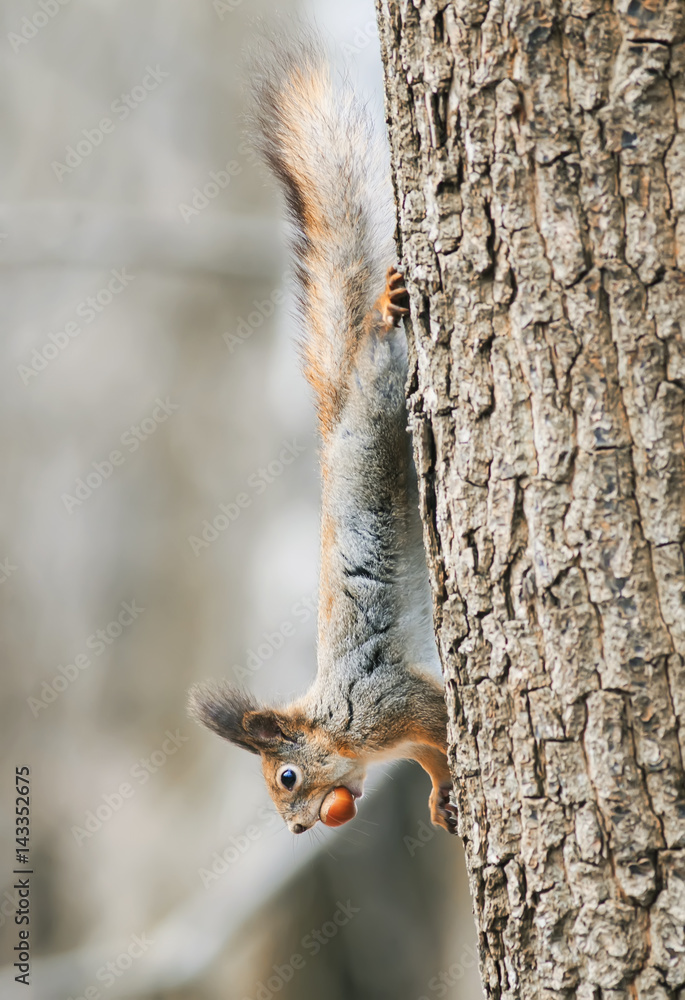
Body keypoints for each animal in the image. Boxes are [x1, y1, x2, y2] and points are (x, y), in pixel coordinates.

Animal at [189, 28, 457, 836]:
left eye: (285, 776)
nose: (300, 828)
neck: (340, 729)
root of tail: (336, 411)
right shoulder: (397, 734)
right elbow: (428, 759)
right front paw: (439, 798)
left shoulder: (392, 701)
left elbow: (439, 722)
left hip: (382, 396)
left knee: (377, 346)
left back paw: (385, 306)